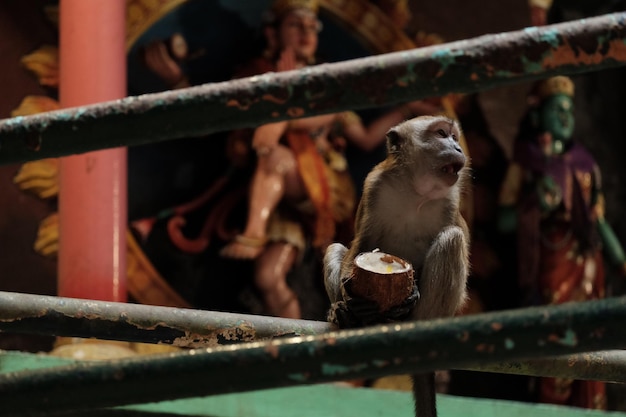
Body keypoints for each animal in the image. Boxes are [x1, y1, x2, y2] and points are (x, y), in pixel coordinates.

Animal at [322, 114, 468, 416]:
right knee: (336, 248)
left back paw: (413, 319)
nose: (459, 148)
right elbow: (362, 242)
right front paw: (350, 303)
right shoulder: (375, 184)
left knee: (452, 238)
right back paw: (348, 315)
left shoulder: (451, 199)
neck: (416, 190)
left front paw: (410, 295)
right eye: (441, 134)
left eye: (454, 137)